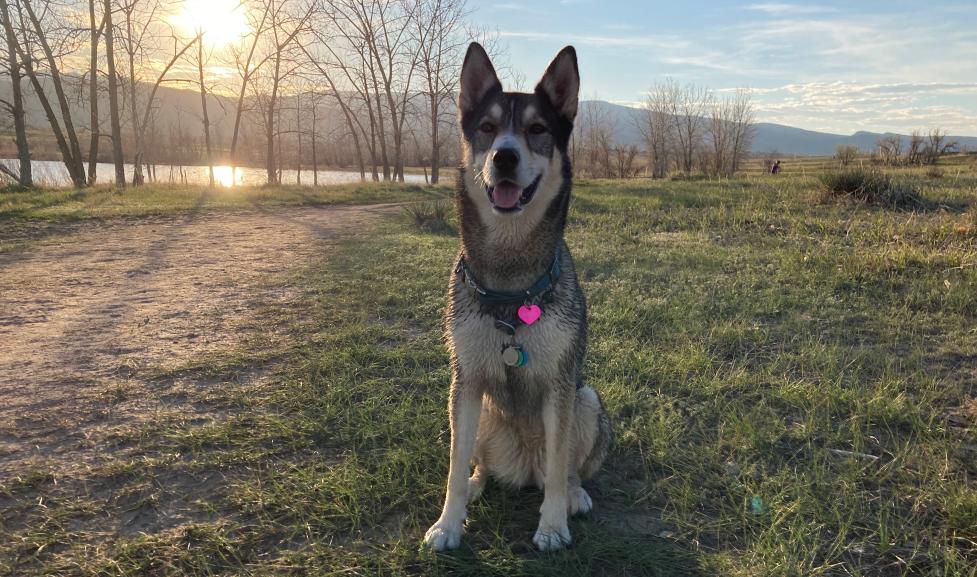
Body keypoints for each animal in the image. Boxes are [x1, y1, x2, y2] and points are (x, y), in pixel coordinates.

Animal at [426, 44, 612, 548]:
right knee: (479, 464)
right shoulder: (466, 382)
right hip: (481, 413)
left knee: (565, 471)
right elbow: (453, 469)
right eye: (488, 128)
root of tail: (524, 465)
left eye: (537, 130)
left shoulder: (560, 385)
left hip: (587, 401)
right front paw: (448, 524)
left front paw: (552, 526)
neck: (511, 284)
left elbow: (561, 466)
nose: (505, 157)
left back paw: (575, 496)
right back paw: (477, 485)